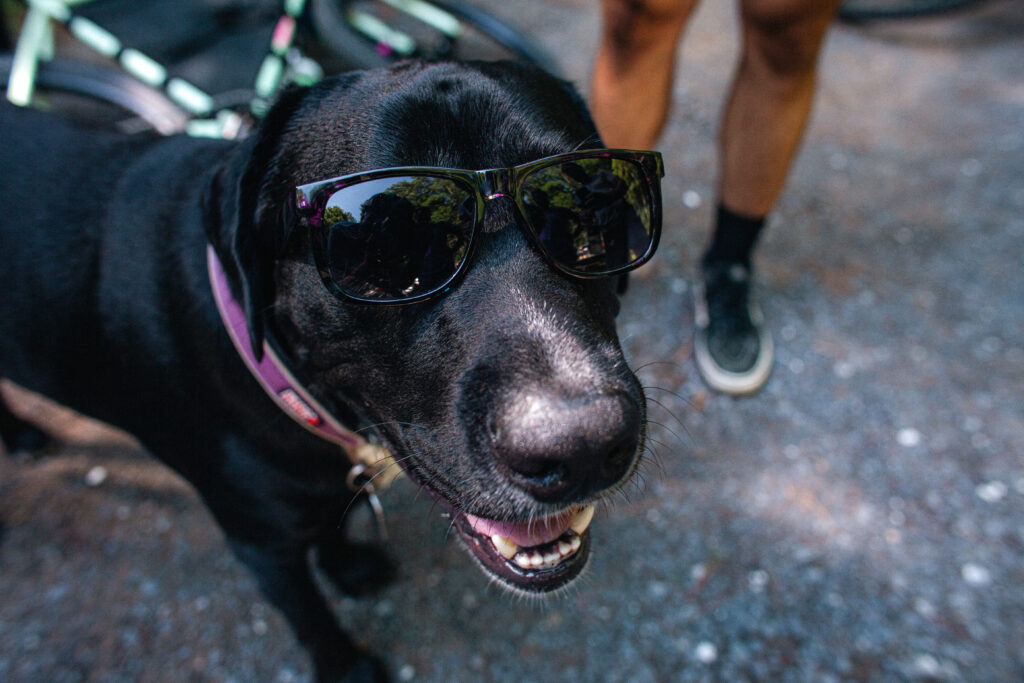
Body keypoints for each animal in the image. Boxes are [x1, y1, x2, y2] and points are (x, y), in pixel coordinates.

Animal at [0, 61, 655, 679]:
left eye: (588, 211)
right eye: (390, 251)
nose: (583, 443)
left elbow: (329, 530)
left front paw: (345, 564)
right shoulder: (259, 543)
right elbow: (307, 612)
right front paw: (346, 666)